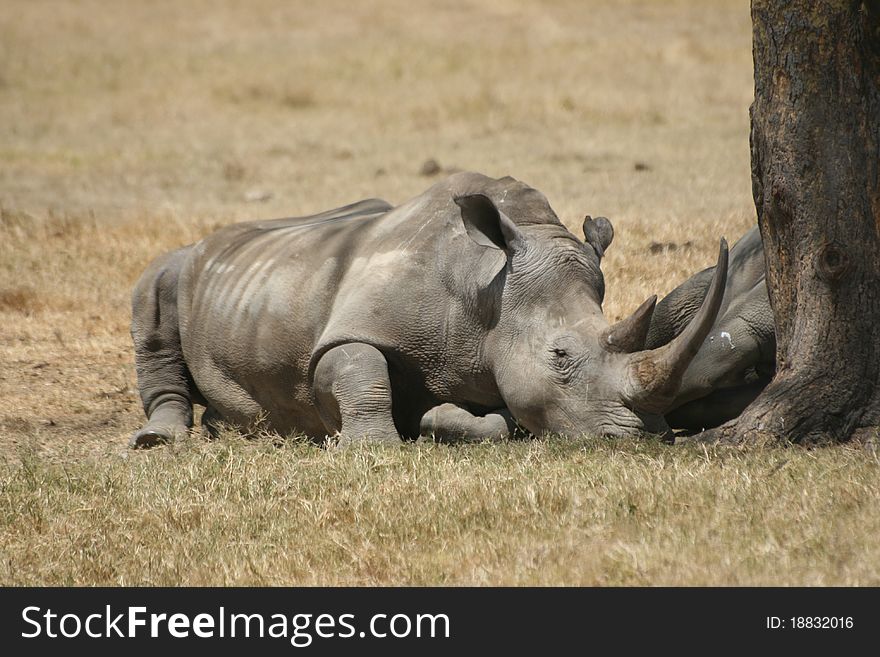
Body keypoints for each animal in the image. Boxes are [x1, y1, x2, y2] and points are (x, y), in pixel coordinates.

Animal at [127, 172, 724, 446]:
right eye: (559, 357)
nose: (647, 436)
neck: (485, 284)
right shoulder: (353, 327)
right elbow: (356, 365)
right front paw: (374, 446)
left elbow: (494, 421)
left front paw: (435, 420)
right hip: (182, 266)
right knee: (154, 293)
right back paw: (161, 439)